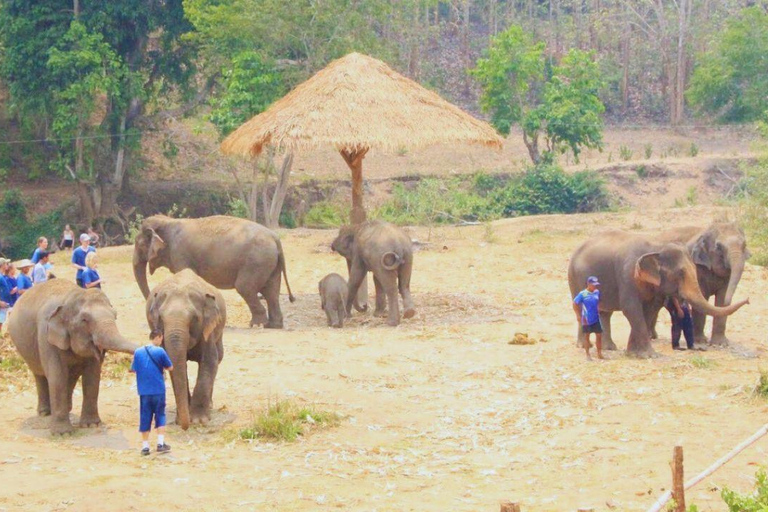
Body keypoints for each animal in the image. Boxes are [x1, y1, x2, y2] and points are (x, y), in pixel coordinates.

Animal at [6, 280, 136, 432]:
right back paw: (45, 413)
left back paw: (65, 409)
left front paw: (91, 425)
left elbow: (92, 376)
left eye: (115, 316)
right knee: (40, 374)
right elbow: (57, 376)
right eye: (85, 320)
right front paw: (63, 433)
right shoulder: (47, 336)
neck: (68, 298)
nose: (131, 367)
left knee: (71, 376)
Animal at [132, 215, 294, 328]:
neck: (167, 221)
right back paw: (273, 325)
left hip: (256, 261)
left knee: (245, 287)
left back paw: (256, 325)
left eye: (140, 245)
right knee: (271, 291)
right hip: (269, 263)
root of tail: (275, 238)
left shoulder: (180, 254)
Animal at [146, 270, 225, 430]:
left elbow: (210, 362)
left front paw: (198, 420)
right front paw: (182, 418)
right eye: (161, 318)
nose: (184, 426)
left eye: (194, 318)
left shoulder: (207, 329)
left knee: (219, 357)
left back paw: (210, 406)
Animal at [568, 230, 748, 358]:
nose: (748, 300)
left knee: (605, 312)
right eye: (680, 273)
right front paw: (648, 355)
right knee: (581, 309)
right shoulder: (627, 274)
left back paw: (609, 348)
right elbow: (631, 308)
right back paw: (585, 346)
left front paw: (634, 354)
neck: (655, 247)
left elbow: (649, 310)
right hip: (574, 278)